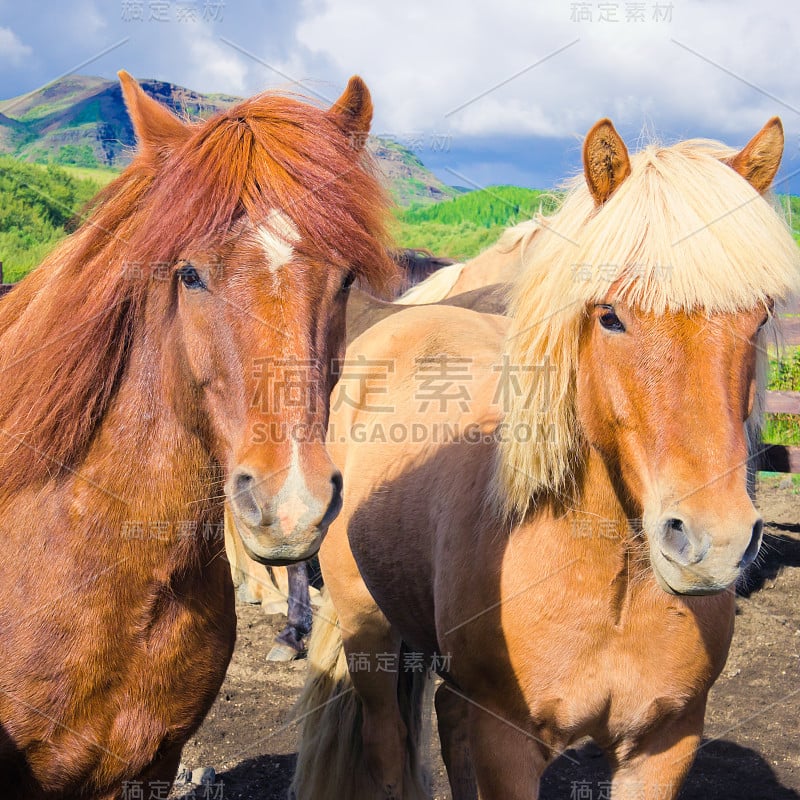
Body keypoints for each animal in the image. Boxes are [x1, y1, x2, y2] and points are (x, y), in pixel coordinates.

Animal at [292, 120, 800, 800]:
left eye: (760, 315)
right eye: (609, 316)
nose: (711, 543)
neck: (613, 584)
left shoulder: (664, 747)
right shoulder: (509, 743)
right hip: (366, 625)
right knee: (386, 743)